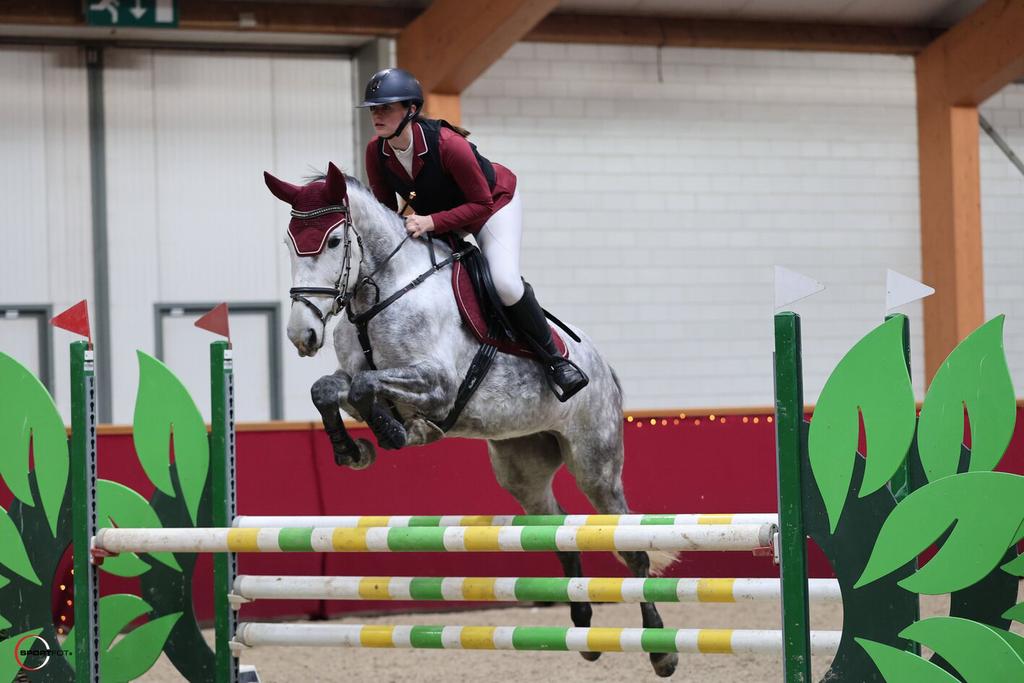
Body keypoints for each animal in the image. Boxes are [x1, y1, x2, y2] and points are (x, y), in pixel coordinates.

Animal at [264, 162, 678, 678]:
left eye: (335, 241)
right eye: (289, 242)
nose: (302, 334)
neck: (379, 295)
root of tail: (604, 368)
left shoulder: (439, 384)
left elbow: (367, 388)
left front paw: (399, 432)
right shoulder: (361, 379)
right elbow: (332, 388)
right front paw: (354, 450)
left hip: (595, 464)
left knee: (632, 548)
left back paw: (660, 649)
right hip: (520, 467)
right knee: (559, 529)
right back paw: (583, 628)